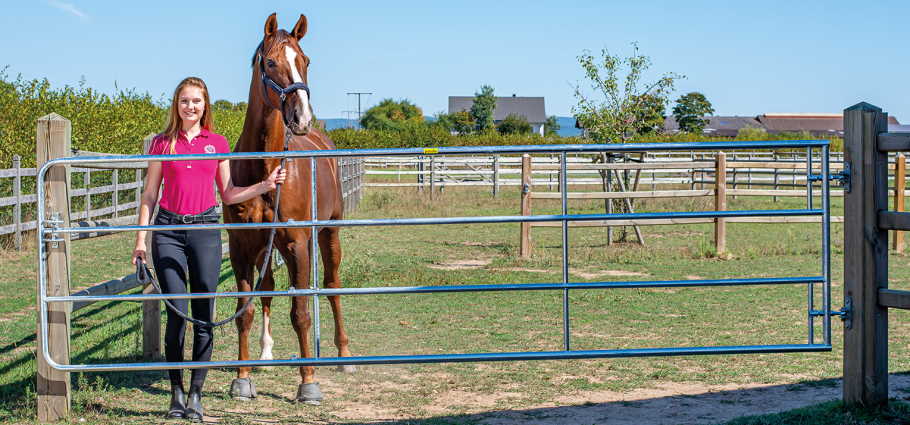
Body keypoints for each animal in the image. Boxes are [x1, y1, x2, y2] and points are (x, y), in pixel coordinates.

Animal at [226, 13, 354, 402]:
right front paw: (242, 378)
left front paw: (308, 382)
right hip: (270, 248)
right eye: (270, 63)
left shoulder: (298, 243)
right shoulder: (242, 246)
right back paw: (266, 354)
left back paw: (344, 356)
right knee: (268, 287)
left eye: (306, 61)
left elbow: (300, 313)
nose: (302, 117)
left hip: (328, 233)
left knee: (331, 284)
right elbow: (246, 310)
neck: (266, 169)